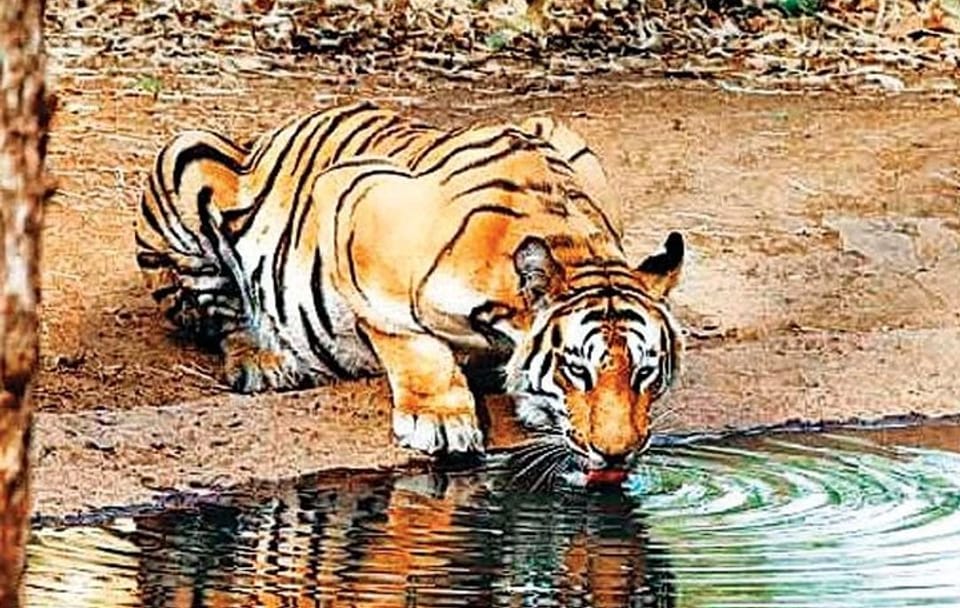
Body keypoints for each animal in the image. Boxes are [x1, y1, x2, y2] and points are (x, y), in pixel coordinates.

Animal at [135, 101, 685, 483]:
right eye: (578, 371)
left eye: (645, 372)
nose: (616, 454)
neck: (575, 246)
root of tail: (261, 137)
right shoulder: (354, 202)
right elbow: (408, 337)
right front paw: (441, 421)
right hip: (186, 155)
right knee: (221, 314)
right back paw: (264, 362)